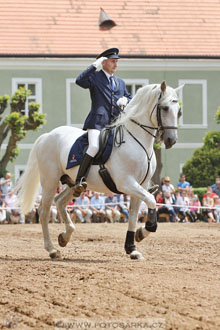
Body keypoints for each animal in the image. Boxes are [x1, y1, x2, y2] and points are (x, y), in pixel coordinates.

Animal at [15, 80, 182, 260]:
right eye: (165, 108)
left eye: (178, 111)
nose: (171, 140)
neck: (136, 140)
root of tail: (47, 136)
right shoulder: (126, 183)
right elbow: (151, 200)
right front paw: (147, 228)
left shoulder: (141, 186)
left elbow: (133, 215)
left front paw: (132, 247)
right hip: (50, 181)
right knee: (44, 211)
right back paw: (52, 249)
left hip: (72, 183)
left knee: (59, 201)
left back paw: (65, 237)